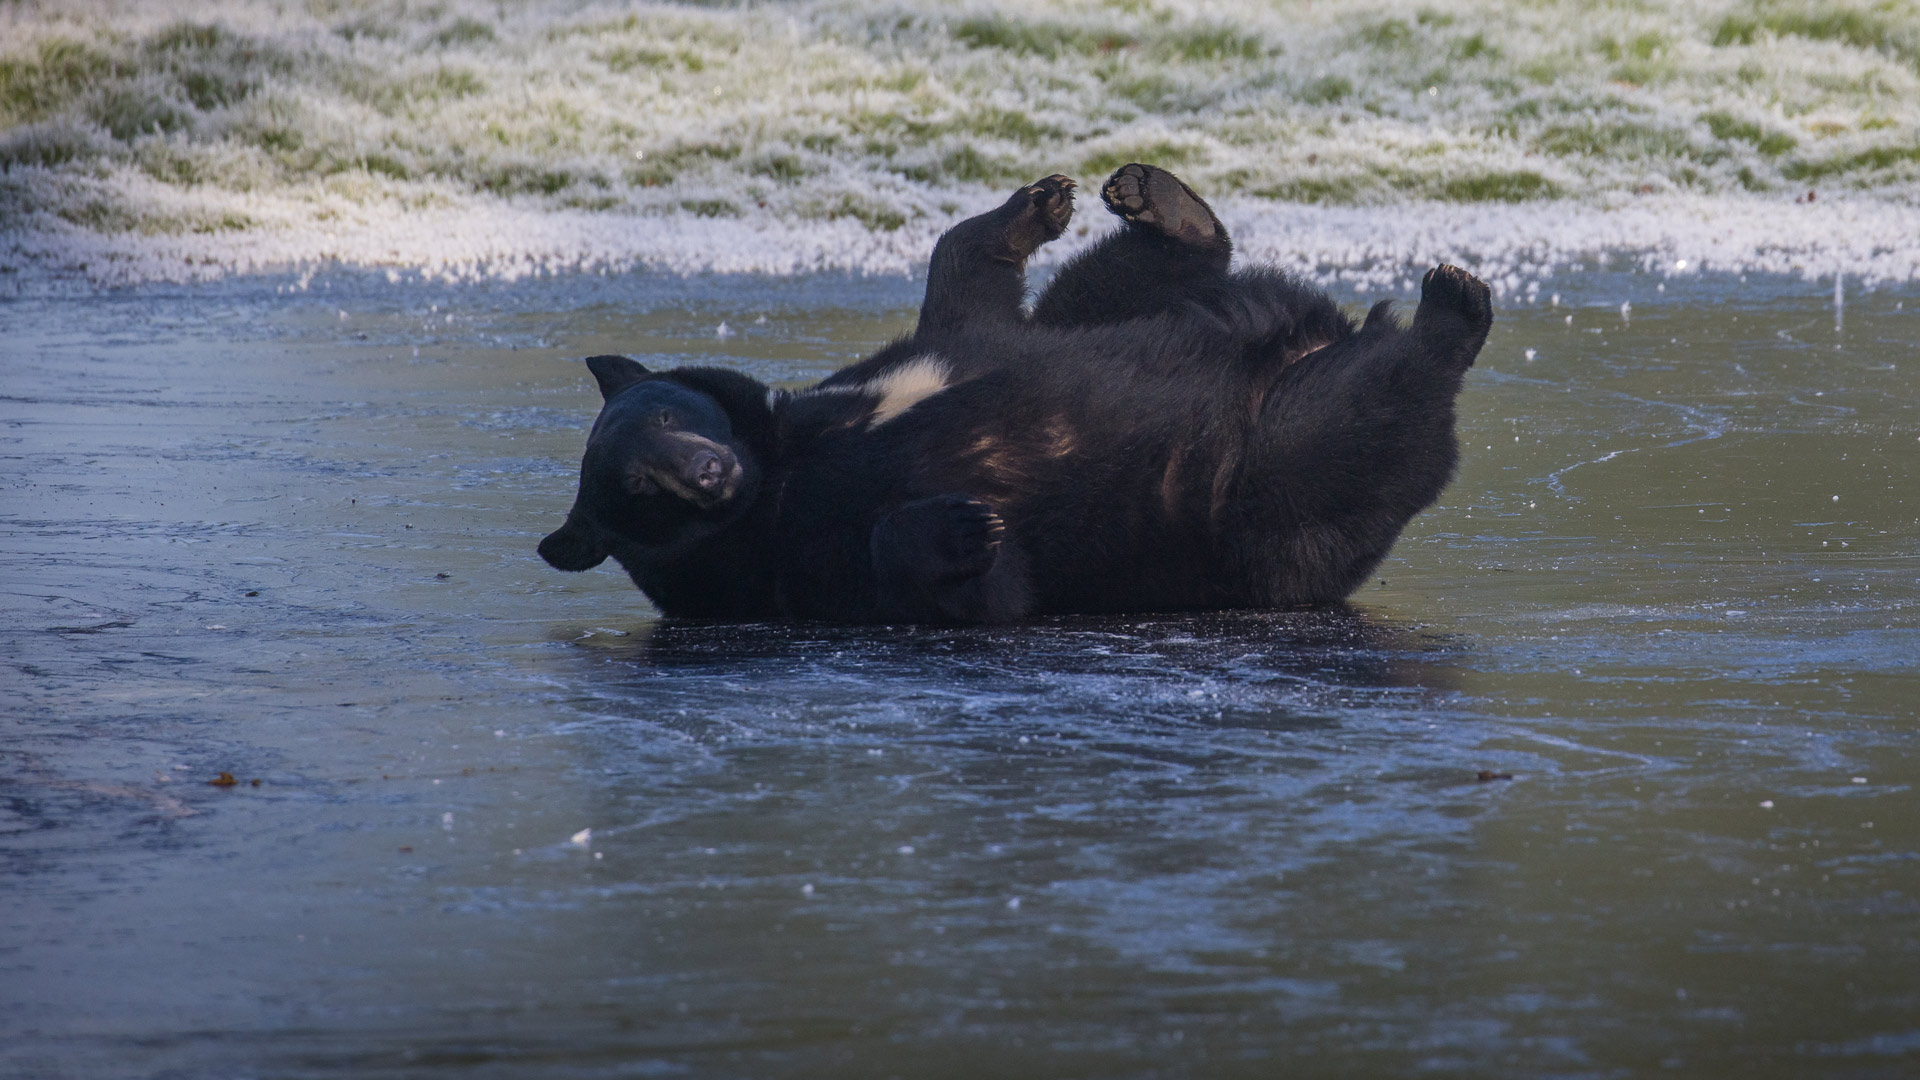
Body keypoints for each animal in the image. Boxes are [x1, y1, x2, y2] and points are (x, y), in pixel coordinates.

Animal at [537, 164, 1492, 624]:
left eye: (670, 412)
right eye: (638, 485)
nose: (706, 472)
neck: (782, 464)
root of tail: (1319, 337)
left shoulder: (907, 363)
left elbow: (966, 291)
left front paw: (1036, 205)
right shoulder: (791, 563)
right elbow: (961, 587)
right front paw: (965, 526)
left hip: (1169, 320)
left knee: (1121, 286)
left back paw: (1158, 200)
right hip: (1267, 490)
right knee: (1359, 420)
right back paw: (1450, 310)